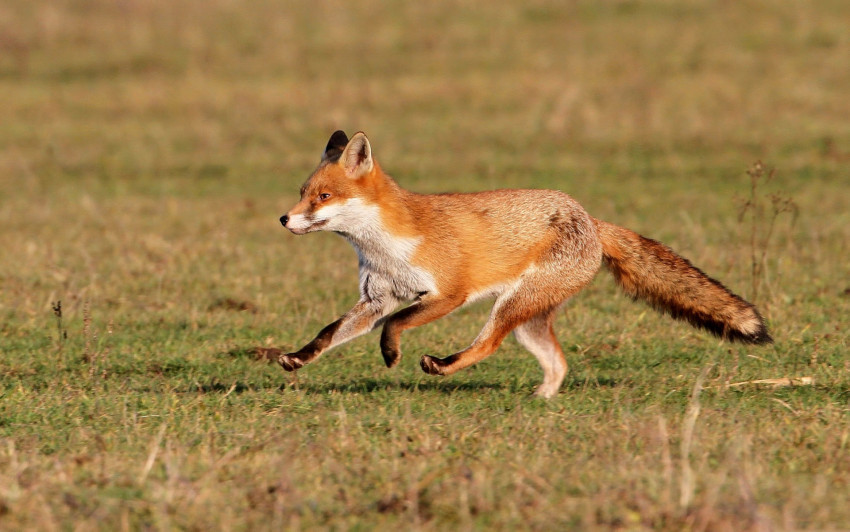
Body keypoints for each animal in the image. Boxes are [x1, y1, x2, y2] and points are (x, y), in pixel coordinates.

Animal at [264, 131, 768, 396]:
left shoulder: (448, 293)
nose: (284, 218)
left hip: (507, 306)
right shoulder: (377, 297)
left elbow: (396, 324)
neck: (387, 244)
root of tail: (591, 219)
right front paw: (296, 358)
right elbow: (328, 334)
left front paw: (390, 353)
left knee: (488, 345)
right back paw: (543, 399)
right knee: (558, 363)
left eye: (323, 197)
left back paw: (443, 365)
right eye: (302, 192)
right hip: (529, 319)